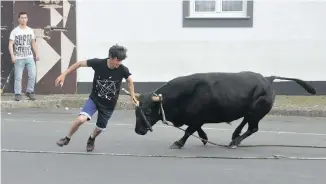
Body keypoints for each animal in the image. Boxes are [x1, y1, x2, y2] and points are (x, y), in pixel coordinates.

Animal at [131, 71, 316, 149]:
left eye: (147, 112)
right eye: (136, 111)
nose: (138, 130)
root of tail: (267, 79)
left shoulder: (197, 118)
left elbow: (189, 130)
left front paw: (178, 143)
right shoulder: (196, 119)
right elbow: (197, 129)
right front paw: (205, 138)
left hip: (256, 113)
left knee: (253, 128)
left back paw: (235, 141)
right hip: (250, 112)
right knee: (245, 123)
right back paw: (235, 136)